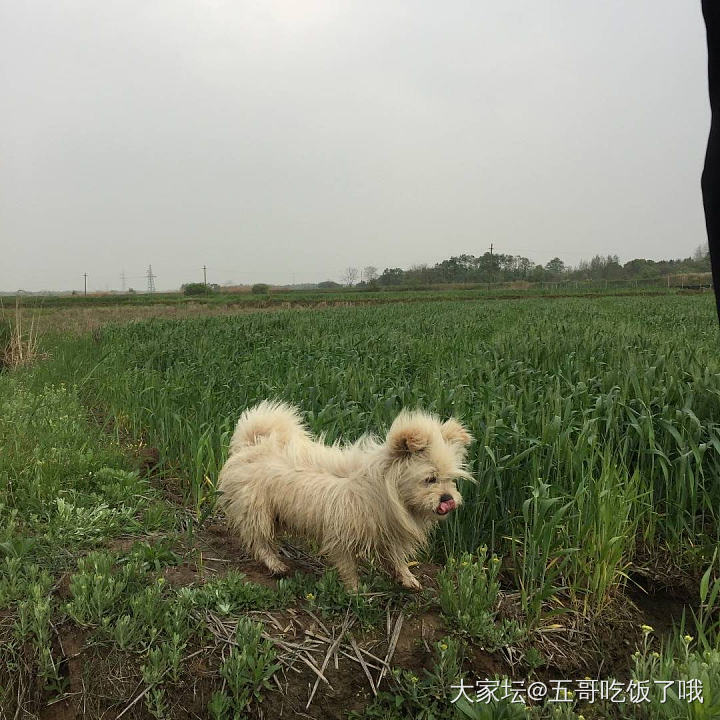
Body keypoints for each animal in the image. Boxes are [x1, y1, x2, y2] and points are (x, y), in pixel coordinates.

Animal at [217, 400, 472, 592]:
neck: (382, 489)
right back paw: (275, 564)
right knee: (258, 539)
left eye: (450, 479)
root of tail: (251, 445)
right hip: (256, 511)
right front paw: (354, 590)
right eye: (430, 479)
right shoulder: (341, 537)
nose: (447, 499)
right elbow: (348, 566)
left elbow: (397, 558)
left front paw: (407, 578)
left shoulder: (388, 532)